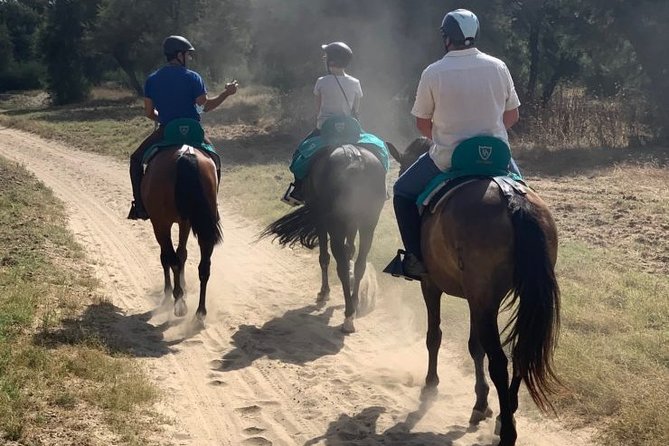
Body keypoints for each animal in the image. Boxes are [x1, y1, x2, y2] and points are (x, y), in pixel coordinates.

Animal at [141, 146, 222, 320]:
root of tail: (186, 155)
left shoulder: (160, 224)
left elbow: (167, 257)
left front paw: (169, 294)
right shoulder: (185, 222)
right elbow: (182, 253)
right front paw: (183, 289)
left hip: (161, 224)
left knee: (172, 260)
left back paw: (179, 302)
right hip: (202, 226)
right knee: (204, 266)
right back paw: (200, 311)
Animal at [260, 145, 386, 332]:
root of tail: (355, 159)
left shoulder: (319, 218)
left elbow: (324, 257)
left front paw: (324, 292)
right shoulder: (352, 223)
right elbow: (350, 251)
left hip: (336, 225)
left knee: (340, 265)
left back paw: (348, 317)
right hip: (368, 224)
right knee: (360, 264)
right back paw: (354, 304)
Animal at [388, 138, 560, 444]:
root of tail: (511, 198)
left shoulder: (431, 285)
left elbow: (434, 336)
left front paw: (431, 385)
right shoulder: (475, 299)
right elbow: (474, 346)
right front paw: (482, 403)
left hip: (480, 296)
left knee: (499, 361)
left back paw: (508, 432)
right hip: (507, 297)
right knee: (519, 351)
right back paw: (506, 413)